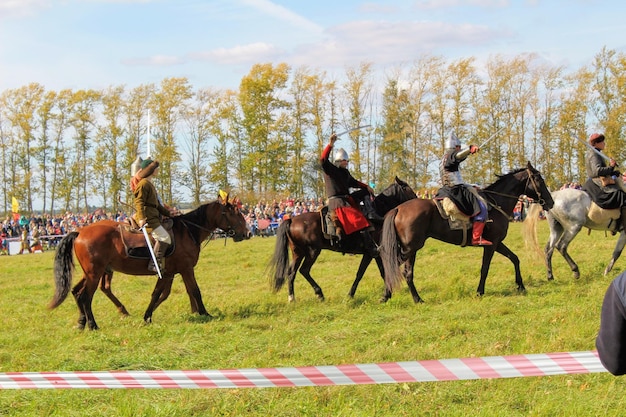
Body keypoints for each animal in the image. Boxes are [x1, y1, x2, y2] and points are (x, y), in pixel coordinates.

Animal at [48, 193, 250, 330]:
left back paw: (82, 322)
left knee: (77, 292)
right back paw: (93, 325)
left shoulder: (169, 273)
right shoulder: (186, 269)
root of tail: (80, 231)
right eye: (236, 213)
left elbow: (160, 294)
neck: (187, 231)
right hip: (95, 273)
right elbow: (194, 291)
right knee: (85, 296)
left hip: (92, 272)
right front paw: (205, 313)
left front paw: (148, 316)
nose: (247, 233)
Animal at [266, 176, 416, 302]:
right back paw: (319, 293)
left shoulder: (372, 254)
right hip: (312, 252)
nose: (416, 199)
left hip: (298, 253)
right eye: (406, 188)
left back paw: (292, 298)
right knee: (304, 270)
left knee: (291, 272)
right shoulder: (374, 253)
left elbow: (371, 273)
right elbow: (367, 273)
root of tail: (291, 219)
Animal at [378, 162, 552, 302]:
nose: (550, 202)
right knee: (404, 272)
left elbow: (514, 258)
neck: (496, 203)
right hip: (411, 249)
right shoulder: (491, 245)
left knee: (392, 268)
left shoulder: (497, 243)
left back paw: (386, 295)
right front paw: (480, 292)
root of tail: (398, 208)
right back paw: (416, 298)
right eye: (539, 180)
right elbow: (485, 268)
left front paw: (520, 285)